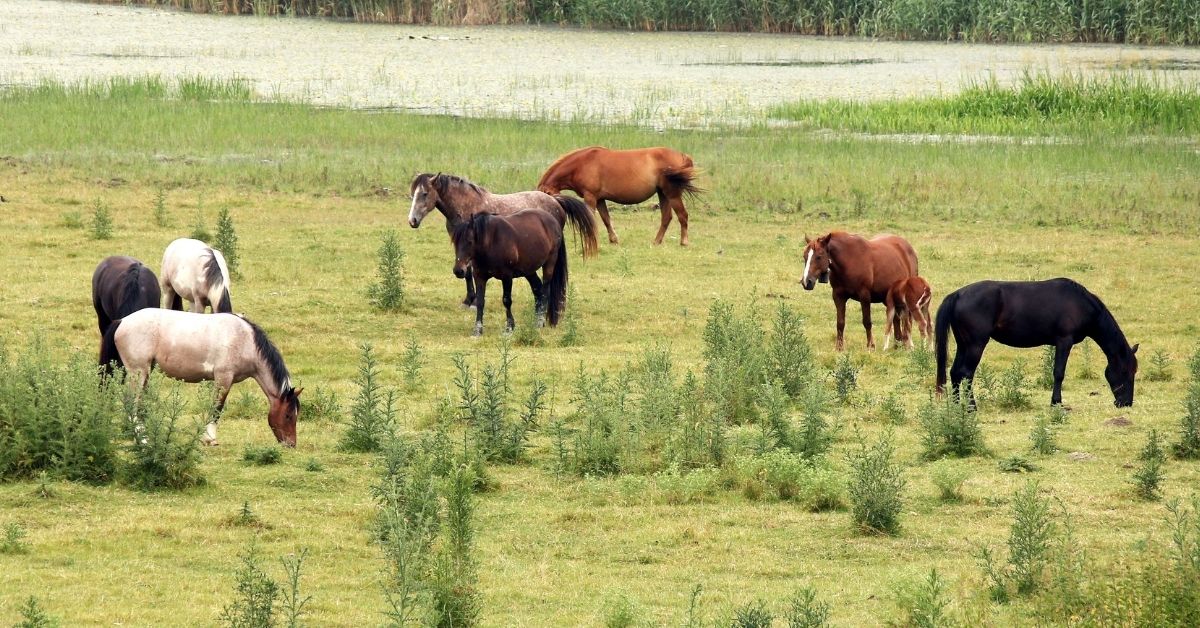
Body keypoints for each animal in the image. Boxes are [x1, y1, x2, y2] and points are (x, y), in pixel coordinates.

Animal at [100, 307, 302, 446]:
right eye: (288, 415)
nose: (291, 444)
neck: (245, 341)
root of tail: (122, 321)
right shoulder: (223, 378)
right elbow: (216, 408)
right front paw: (210, 438)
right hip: (138, 372)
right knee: (131, 404)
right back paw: (142, 439)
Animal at [451, 210, 568, 338]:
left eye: (470, 241)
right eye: (455, 242)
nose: (458, 270)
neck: (491, 242)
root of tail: (553, 220)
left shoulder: (506, 277)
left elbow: (507, 301)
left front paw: (509, 328)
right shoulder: (479, 277)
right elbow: (480, 302)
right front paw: (477, 330)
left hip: (549, 264)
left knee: (545, 292)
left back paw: (539, 322)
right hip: (529, 270)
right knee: (538, 290)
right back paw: (536, 320)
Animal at [537, 146, 700, 247]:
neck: (582, 164)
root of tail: (682, 156)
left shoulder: (591, 197)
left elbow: (591, 217)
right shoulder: (600, 199)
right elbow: (606, 219)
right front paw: (614, 240)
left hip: (672, 194)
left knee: (682, 215)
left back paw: (684, 242)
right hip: (663, 194)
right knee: (666, 218)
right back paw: (656, 242)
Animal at [931, 278, 1137, 408]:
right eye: (1125, 371)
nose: (1126, 403)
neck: (1080, 303)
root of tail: (958, 294)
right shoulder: (1064, 341)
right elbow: (1058, 373)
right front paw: (1056, 402)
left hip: (963, 345)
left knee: (955, 372)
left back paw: (957, 406)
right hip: (976, 345)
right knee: (966, 373)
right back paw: (972, 407)